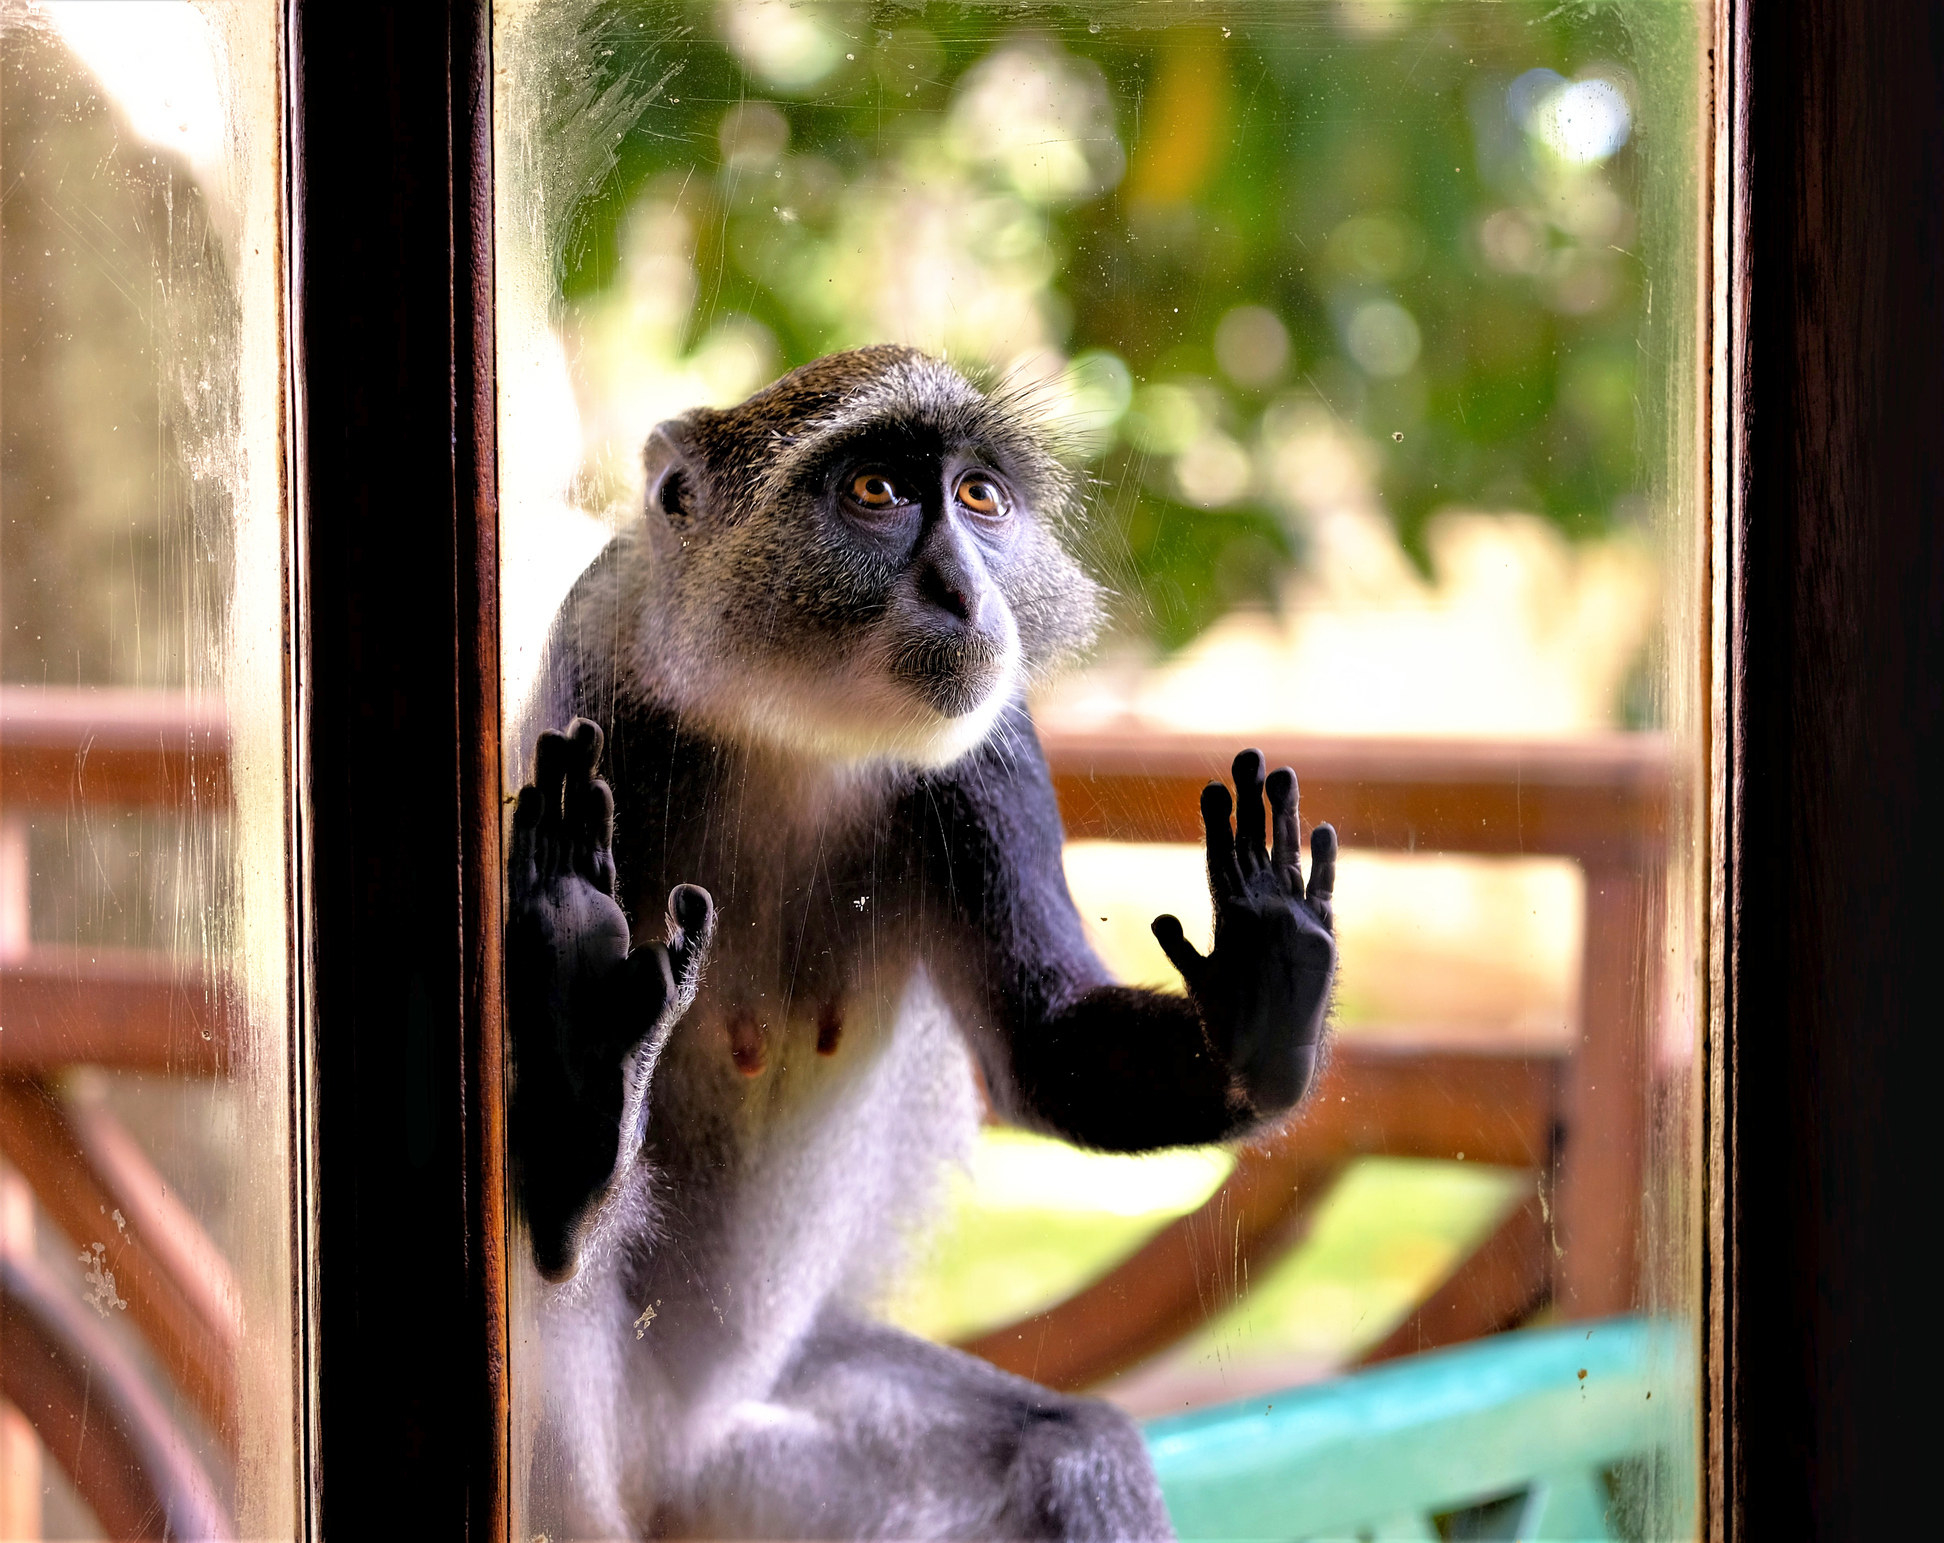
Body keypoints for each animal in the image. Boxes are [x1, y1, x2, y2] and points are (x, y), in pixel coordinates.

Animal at [505, 342, 1337, 1531]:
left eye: (979, 499)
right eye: (879, 491)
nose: (965, 587)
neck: (787, 727)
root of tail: (661, 1468)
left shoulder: (991, 743)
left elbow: (1045, 1051)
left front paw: (1261, 1009)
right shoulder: (591, 682)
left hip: (770, 1462)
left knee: (1071, 1452)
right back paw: (576, 1117)